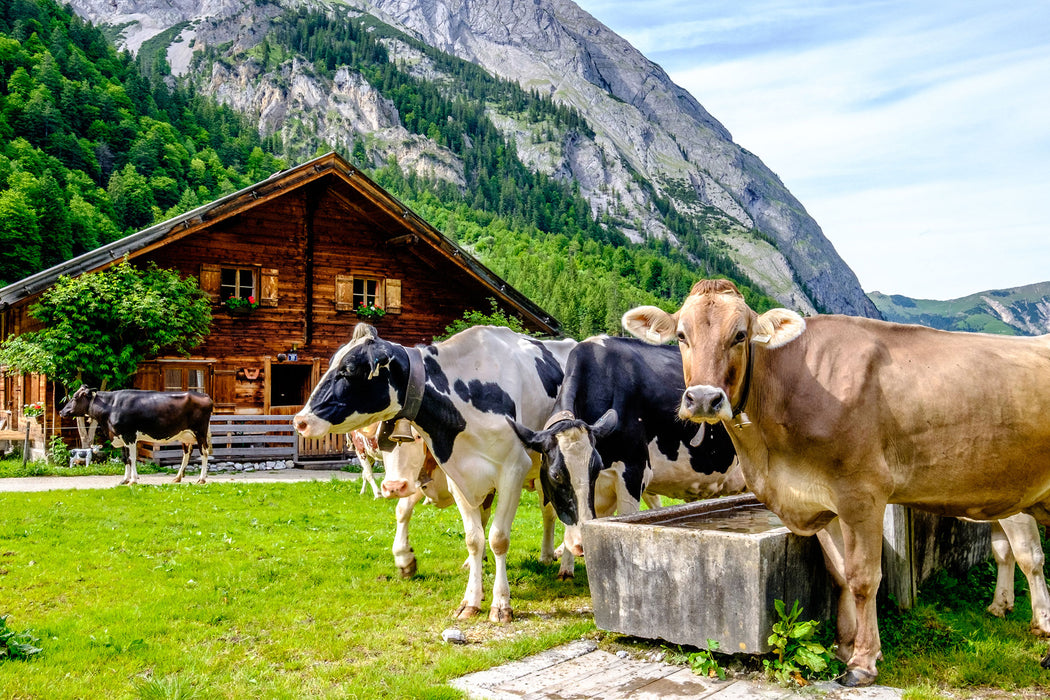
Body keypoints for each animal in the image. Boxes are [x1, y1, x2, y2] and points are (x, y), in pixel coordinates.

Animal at [59, 386, 213, 484]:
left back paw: (202, 479)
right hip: (185, 435)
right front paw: (125, 479)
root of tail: (204, 395)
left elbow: (132, 458)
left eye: (75, 397)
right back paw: (177, 478)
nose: (61, 411)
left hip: (200, 432)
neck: (111, 406)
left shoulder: (129, 436)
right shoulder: (121, 437)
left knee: (204, 453)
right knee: (187, 453)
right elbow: (125, 458)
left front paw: (133, 480)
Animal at [291, 325, 579, 625]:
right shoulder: (458, 477)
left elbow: (498, 538)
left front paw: (501, 604)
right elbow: (473, 538)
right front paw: (470, 599)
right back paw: (547, 555)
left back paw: (566, 566)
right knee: (548, 513)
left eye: (348, 370)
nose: (300, 420)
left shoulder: (513, 469)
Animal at [621, 279, 1050, 684]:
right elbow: (840, 575)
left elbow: (863, 578)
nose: (704, 399)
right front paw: (846, 648)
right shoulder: (822, 501)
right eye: (681, 335)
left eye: (740, 334)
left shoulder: (862, 493)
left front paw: (863, 662)